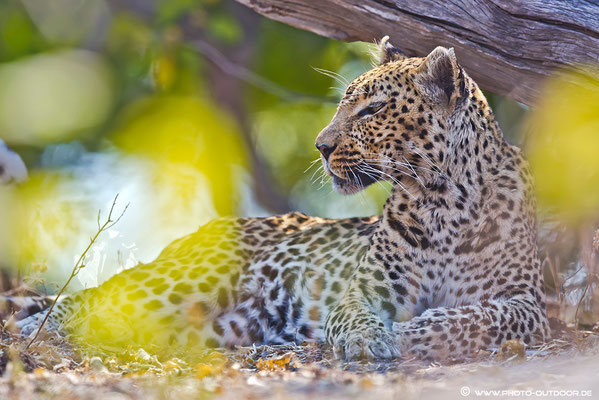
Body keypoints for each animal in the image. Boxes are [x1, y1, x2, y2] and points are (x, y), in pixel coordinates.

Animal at [11, 37, 552, 360]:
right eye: (345, 104)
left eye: (371, 110)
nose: (321, 146)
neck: (441, 202)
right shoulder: (360, 290)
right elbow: (357, 314)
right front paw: (369, 337)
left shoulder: (529, 303)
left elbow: (476, 317)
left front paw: (410, 332)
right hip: (188, 280)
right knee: (87, 298)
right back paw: (34, 326)